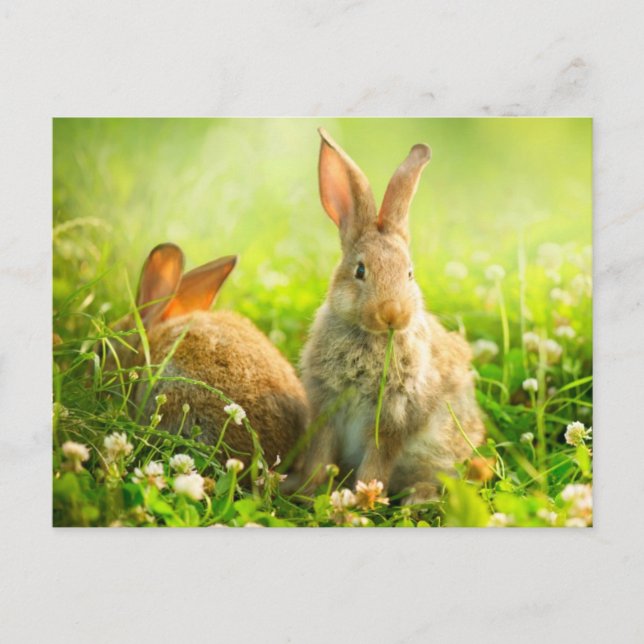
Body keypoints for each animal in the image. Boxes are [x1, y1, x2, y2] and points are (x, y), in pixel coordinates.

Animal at [298, 128, 485, 503]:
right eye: (360, 271)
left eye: (409, 274)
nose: (392, 313)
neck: (371, 338)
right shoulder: (326, 407)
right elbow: (321, 455)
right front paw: (311, 491)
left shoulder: (393, 419)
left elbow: (376, 463)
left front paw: (364, 500)